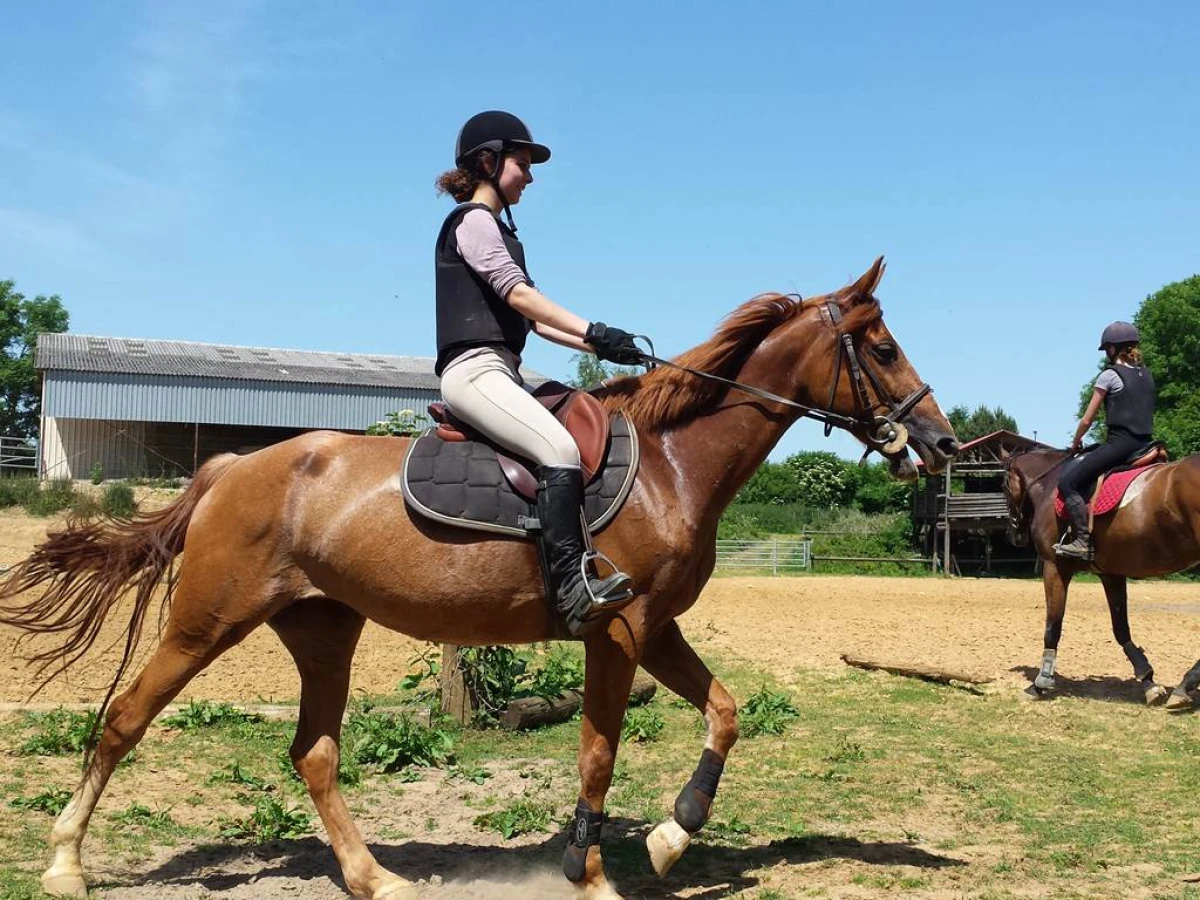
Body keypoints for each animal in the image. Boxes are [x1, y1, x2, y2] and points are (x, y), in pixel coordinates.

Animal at [2, 256, 955, 897]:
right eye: (881, 347)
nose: (941, 442)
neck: (673, 464)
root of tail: (233, 466)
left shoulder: (655, 628)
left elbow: (724, 712)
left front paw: (670, 837)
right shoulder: (616, 631)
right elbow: (598, 753)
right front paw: (590, 871)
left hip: (323, 631)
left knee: (314, 753)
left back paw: (375, 877)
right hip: (206, 622)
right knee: (123, 720)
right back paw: (64, 863)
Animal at [1003, 448, 1200, 710]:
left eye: (1003, 485)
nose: (1013, 535)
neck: (1049, 483)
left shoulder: (1054, 567)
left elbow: (1053, 626)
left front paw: (1040, 683)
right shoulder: (1110, 574)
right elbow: (1121, 629)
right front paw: (1148, 681)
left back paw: (1185, 686)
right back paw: (1184, 686)